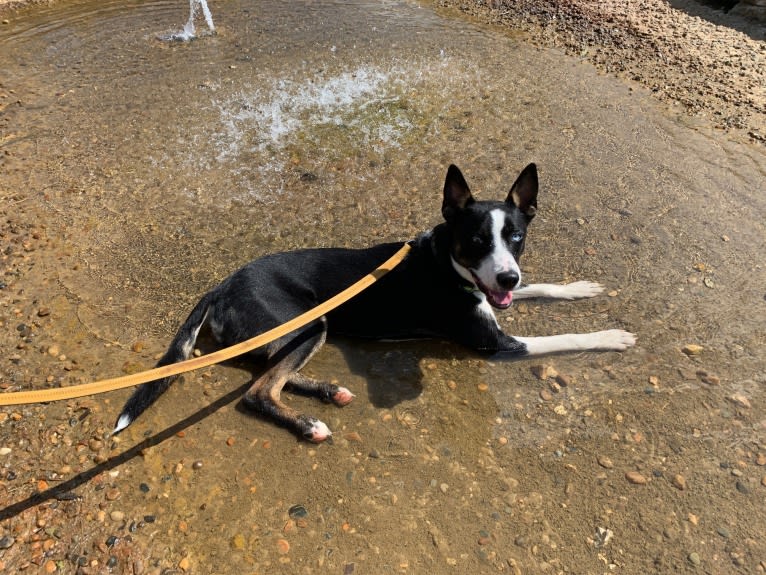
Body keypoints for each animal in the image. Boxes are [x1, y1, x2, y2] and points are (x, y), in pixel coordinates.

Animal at [114, 164, 640, 444]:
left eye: (516, 237)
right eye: (475, 241)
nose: (507, 274)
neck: (446, 263)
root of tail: (220, 286)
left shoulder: (498, 295)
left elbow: (540, 287)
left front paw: (579, 289)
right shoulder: (495, 342)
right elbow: (565, 337)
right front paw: (611, 336)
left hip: (303, 332)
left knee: (270, 373)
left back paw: (329, 391)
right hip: (309, 324)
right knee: (258, 390)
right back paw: (308, 423)